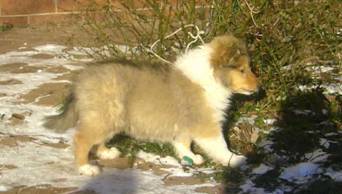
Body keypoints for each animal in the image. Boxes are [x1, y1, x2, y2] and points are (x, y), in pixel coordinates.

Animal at [46, 34, 260, 176]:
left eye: (249, 68)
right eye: (242, 70)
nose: (260, 87)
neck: (213, 76)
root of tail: (81, 79)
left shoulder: (185, 124)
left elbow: (183, 142)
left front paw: (191, 157)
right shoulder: (206, 124)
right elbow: (220, 145)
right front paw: (235, 159)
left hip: (108, 117)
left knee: (96, 139)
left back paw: (107, 153)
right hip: (105, 116)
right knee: (81, 138)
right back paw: (86, 168)